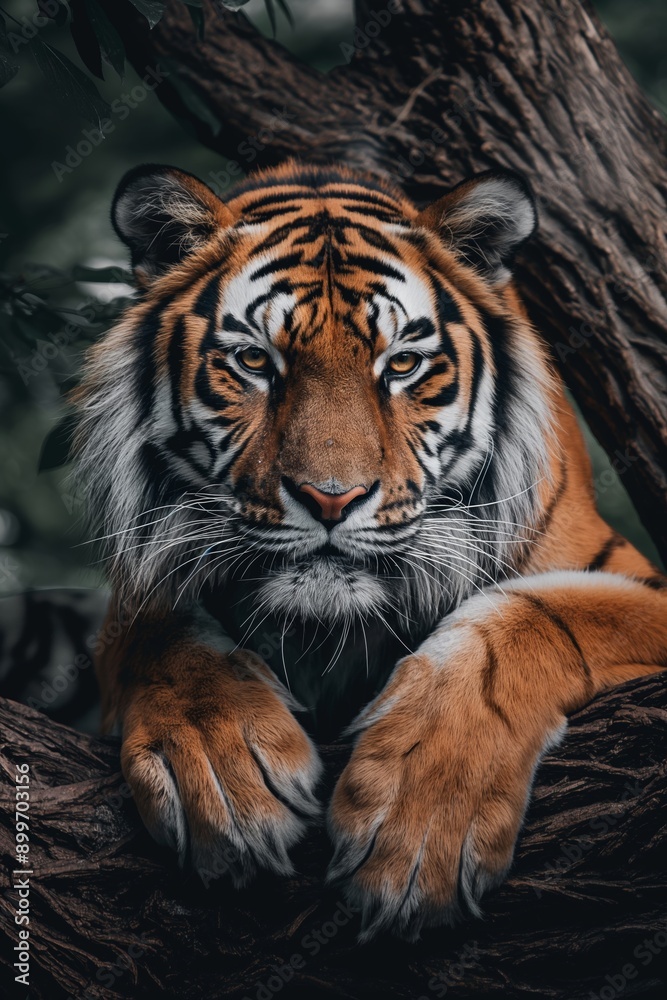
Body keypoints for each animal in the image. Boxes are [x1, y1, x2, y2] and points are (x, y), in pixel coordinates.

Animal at [73, 160, 667, 942]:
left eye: (404, 364)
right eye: (254, 361)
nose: (331, 498)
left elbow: (537, 619)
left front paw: (421, 818)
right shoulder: (138, 589)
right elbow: (162, 634)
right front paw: (222, 776)